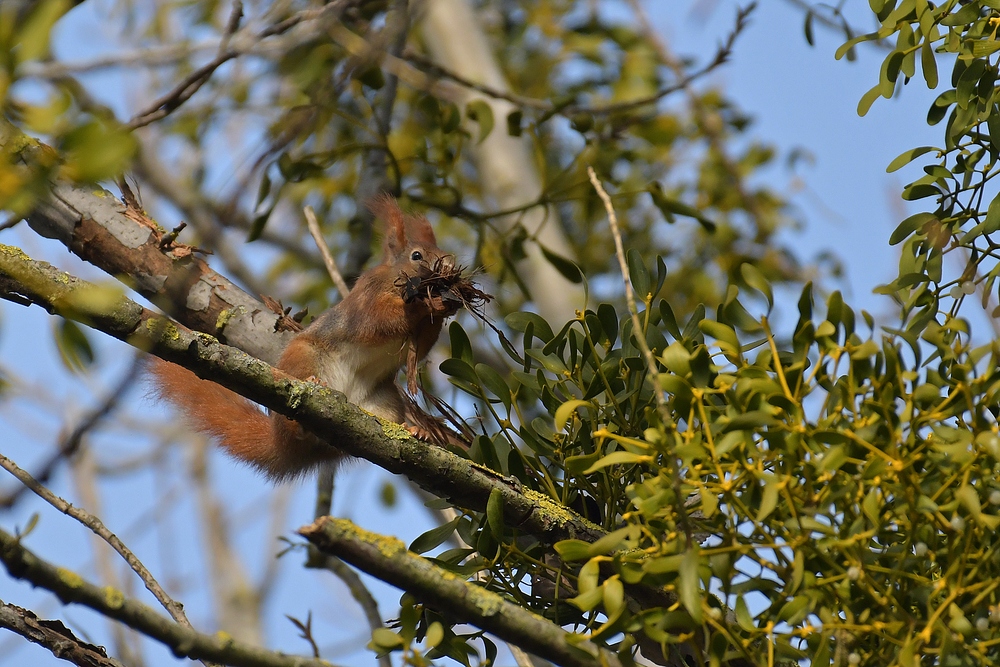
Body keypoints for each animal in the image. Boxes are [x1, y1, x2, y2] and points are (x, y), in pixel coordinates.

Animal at [148, 196, 460, 482]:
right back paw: (305, 403)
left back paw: (414, 430)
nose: (450, 266)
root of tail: (284, 447)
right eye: (417, 255)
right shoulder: (365, 302)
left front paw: (443, 306)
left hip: (385, 403)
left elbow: (420, 349)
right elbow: (380, 321)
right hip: (303, 357)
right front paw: (427, 304)